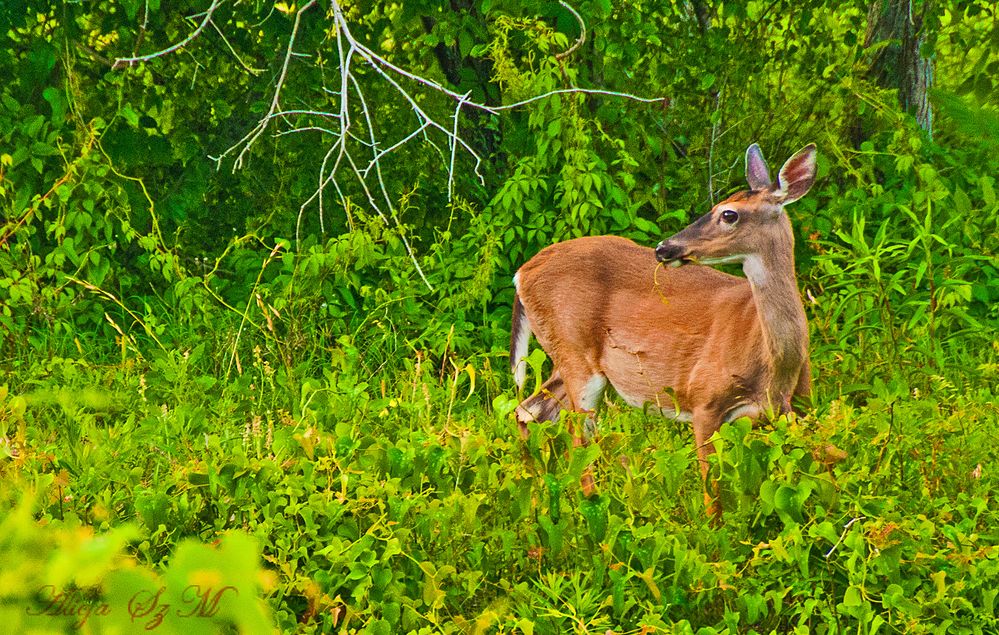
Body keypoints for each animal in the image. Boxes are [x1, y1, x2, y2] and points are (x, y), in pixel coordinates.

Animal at [512, 143, 816, 512]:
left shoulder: (794, 410)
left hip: (563, 356)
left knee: (529, 413)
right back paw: (589, 507)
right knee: (578, 437)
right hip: (575, 355)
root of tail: (521, 274)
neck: (774, 364)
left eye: (729, 214)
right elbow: (712, 494)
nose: (664, 248)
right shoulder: (704, 401)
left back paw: (536, 501)